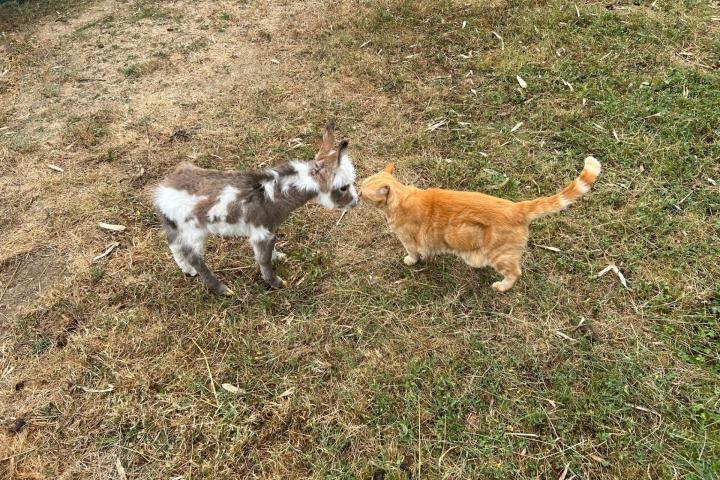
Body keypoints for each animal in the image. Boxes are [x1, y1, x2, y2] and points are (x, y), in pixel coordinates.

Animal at [360, 158, 600, 292]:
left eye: (363, 192)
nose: (355, 193)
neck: (401, 196)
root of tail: (516, 206)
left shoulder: (408, 240)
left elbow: (413, 253)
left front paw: (411, 261)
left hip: (499, 255)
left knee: (515, 273)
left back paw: (502, 287)